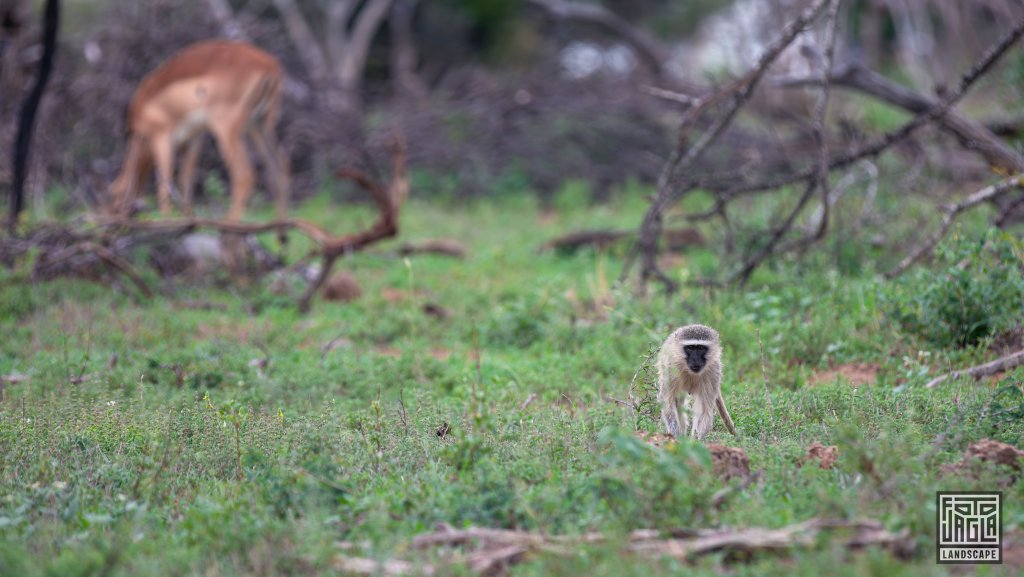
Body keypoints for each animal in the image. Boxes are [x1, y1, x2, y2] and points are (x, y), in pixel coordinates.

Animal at [109, 38, 288, 223]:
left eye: (112, 194)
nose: (110, 218)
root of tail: (269, 65)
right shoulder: (193, 140)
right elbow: (185, 182)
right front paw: (188, 219)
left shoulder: (162, 138)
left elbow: (165, 181)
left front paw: (166, 218)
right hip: (259, 125)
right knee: (280, 165)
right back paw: (280, 226)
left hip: (227, 129)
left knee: (244, 174)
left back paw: (229, 222)